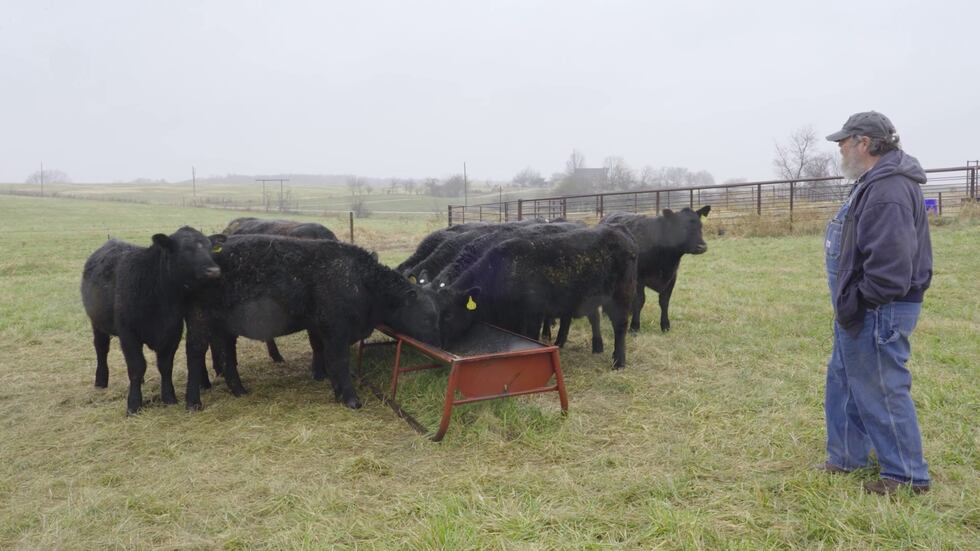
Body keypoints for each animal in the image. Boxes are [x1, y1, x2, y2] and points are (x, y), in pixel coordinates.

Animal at [80, 227, 221, 414]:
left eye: (210, 247)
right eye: (185, 249)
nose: (214, 271)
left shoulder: (172, 331)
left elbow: (165, 365)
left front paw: (169, 397)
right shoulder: (128, 333)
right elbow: (136, 366)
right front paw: (134, 405)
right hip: (97, 323)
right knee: (101, 348)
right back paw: (101, 381)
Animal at [184, 235, 447, 411]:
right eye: (427, 316)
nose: (439, 344)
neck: (361, 281)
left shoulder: (322, 331)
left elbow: (327, 358)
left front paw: (337, 390)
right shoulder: (336, 330)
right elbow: (339, 361)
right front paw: (350, 398)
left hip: (224, 327)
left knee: (227, 356)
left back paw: (238, 389)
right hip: (199, 321)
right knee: (195, 355)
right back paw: (193, 401)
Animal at [436, 225, 637, 368]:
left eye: (449, 314)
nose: (438, 342)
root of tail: (622, 235)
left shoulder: (531, 315)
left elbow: (529, 337)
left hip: (621, 296)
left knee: (620, 326)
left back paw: (618, 361)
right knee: (593, 318)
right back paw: (593, 347)